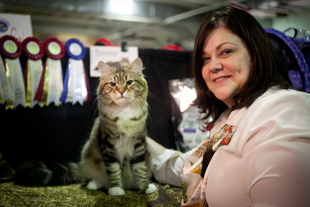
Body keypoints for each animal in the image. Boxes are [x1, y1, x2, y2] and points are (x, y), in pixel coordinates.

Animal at [14, 57, 156, 196]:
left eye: (129, 82)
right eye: (112, 84)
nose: (121, 91)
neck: (124, 113)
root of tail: (82, 168)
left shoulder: (139, 142)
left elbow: (140, 168)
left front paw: (145, 187)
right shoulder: (108, 143)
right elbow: (113, 169)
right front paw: (116, 188)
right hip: (89, 153)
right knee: (99, 177)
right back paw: (94, 184)